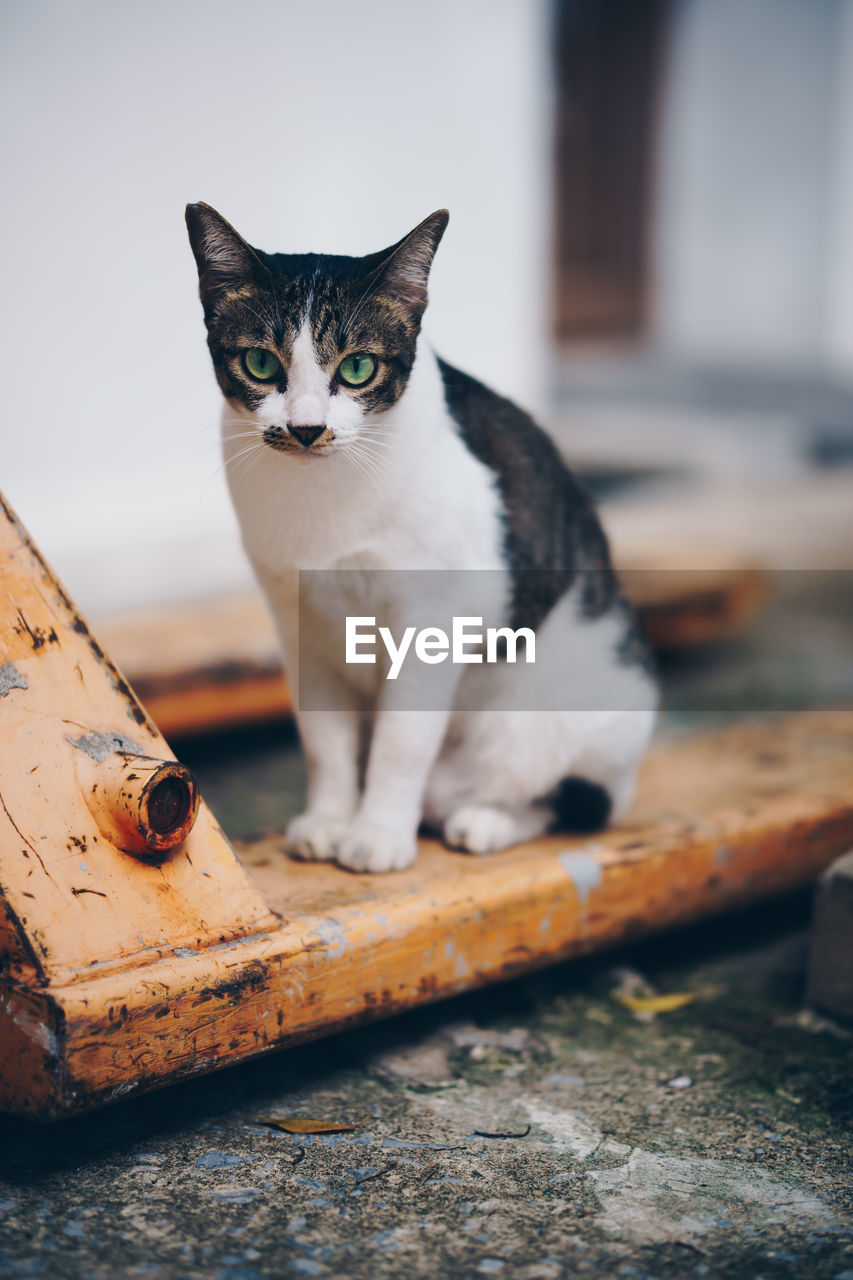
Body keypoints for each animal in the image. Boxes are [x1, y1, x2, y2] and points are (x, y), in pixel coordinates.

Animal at [184, 204, 650, 875]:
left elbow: (401, 743)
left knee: (570, 796)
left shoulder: (434, 616)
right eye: (261, 364)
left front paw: (376, 833)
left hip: (563, 703)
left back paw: (483, 821)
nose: (306, 428)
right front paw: (330, 820)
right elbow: (325, 741)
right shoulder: (302, 626)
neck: (325, 499)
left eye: (357, 367)